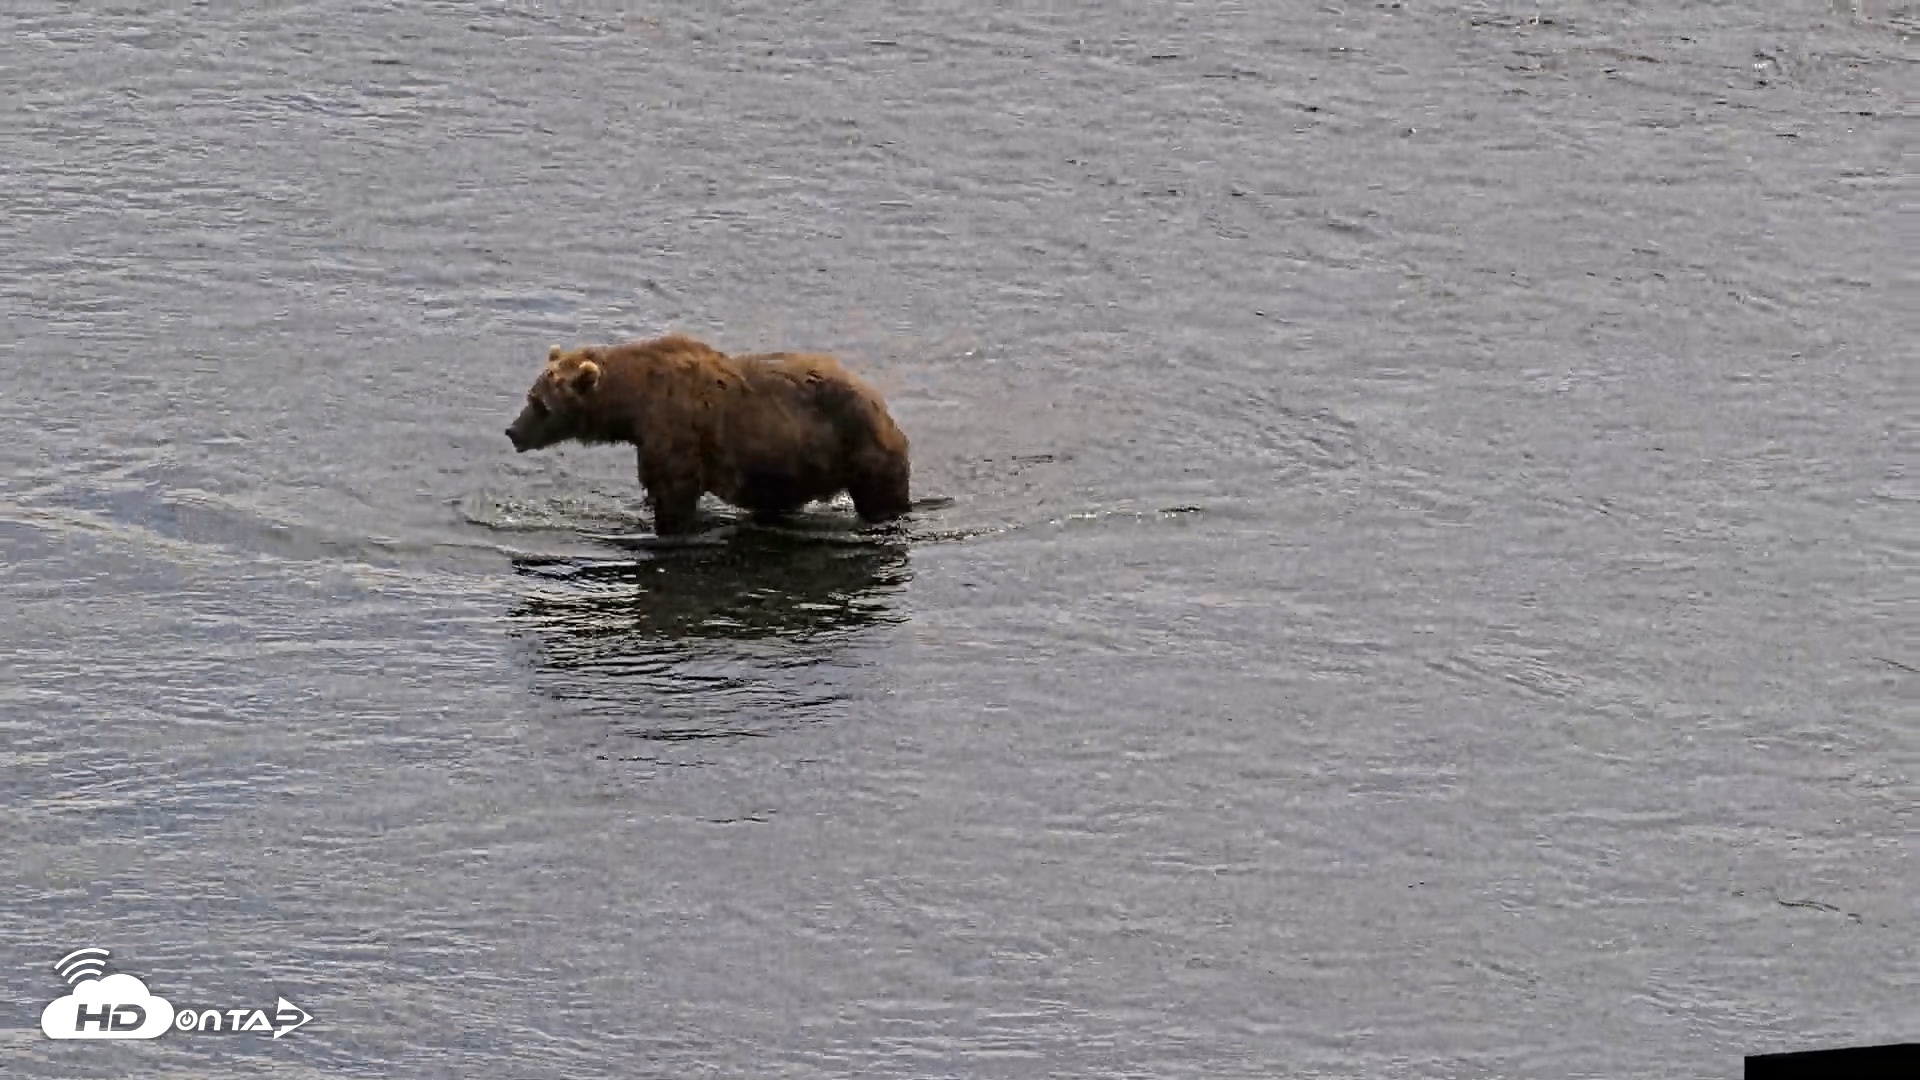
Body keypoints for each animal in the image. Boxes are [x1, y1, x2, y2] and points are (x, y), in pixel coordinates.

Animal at [505, 333, 912, 536]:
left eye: (540, 404)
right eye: (531, 395)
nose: (512, 431)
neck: (633, 405)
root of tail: (881, 404)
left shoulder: (676, 434)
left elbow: (674, 495)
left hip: (859, 449)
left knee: (881, 498)